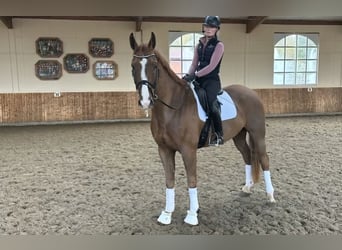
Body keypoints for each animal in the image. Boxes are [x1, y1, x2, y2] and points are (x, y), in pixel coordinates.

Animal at [129, 32, 276, 226]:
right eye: (133, 66)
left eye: (154, 66)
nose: (146, 101)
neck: (173, 109)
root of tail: (251, 92)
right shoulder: (164, 150)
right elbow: (169, 180)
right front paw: (167, 213)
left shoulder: (188, 150)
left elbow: (192, 180)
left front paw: (192, 214)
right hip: (238, 135)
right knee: (247, 156)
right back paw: (247, 187)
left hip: (258, 134)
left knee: (264, 159)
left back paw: (270, 196)